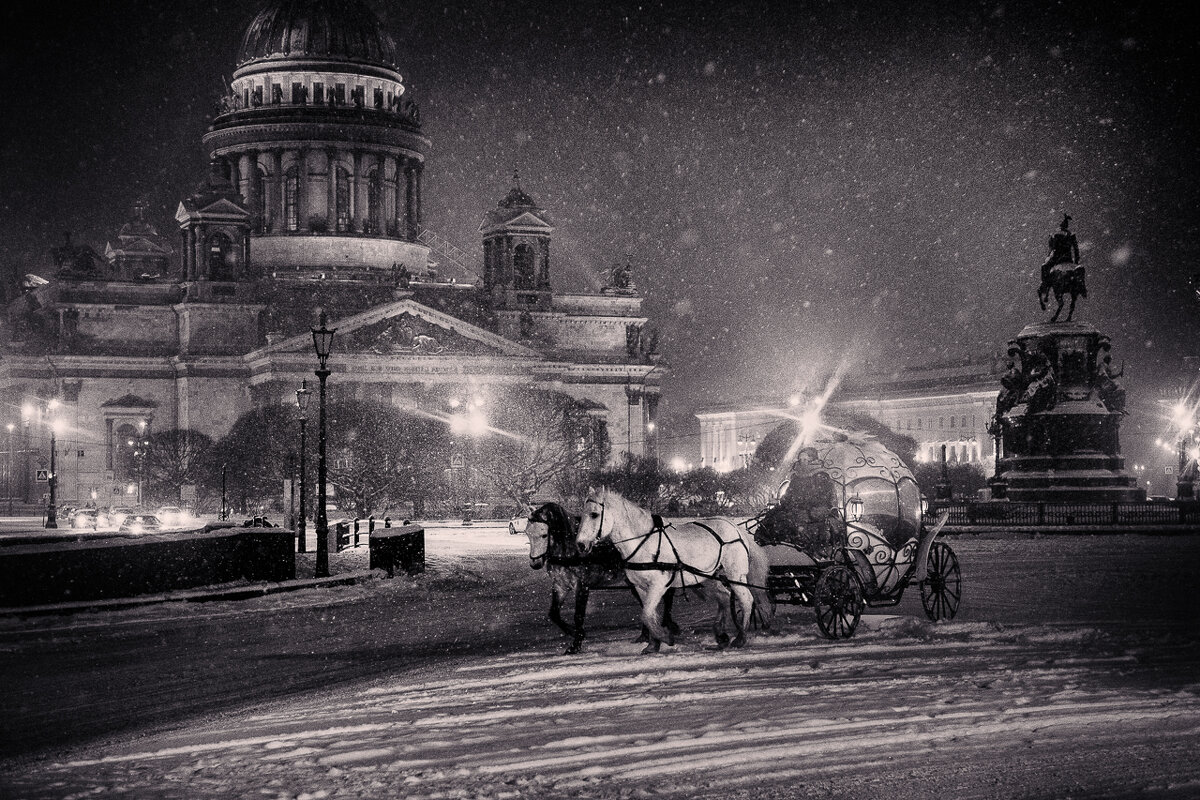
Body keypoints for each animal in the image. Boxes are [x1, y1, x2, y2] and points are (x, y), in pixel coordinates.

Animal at [576, 489, 772, 652]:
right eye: (581, 516)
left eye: (594, 514)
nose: (580, 544)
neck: (644, 543)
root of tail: (736, 528)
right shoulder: (641, 587)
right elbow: (650, 615)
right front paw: (653, 644)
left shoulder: (659, 584)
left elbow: (646, 614)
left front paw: (665, 637)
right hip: (708, 576)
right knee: (724, 597)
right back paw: (721, 635)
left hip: (735, 574)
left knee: (746, 599)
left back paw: (740, 637)